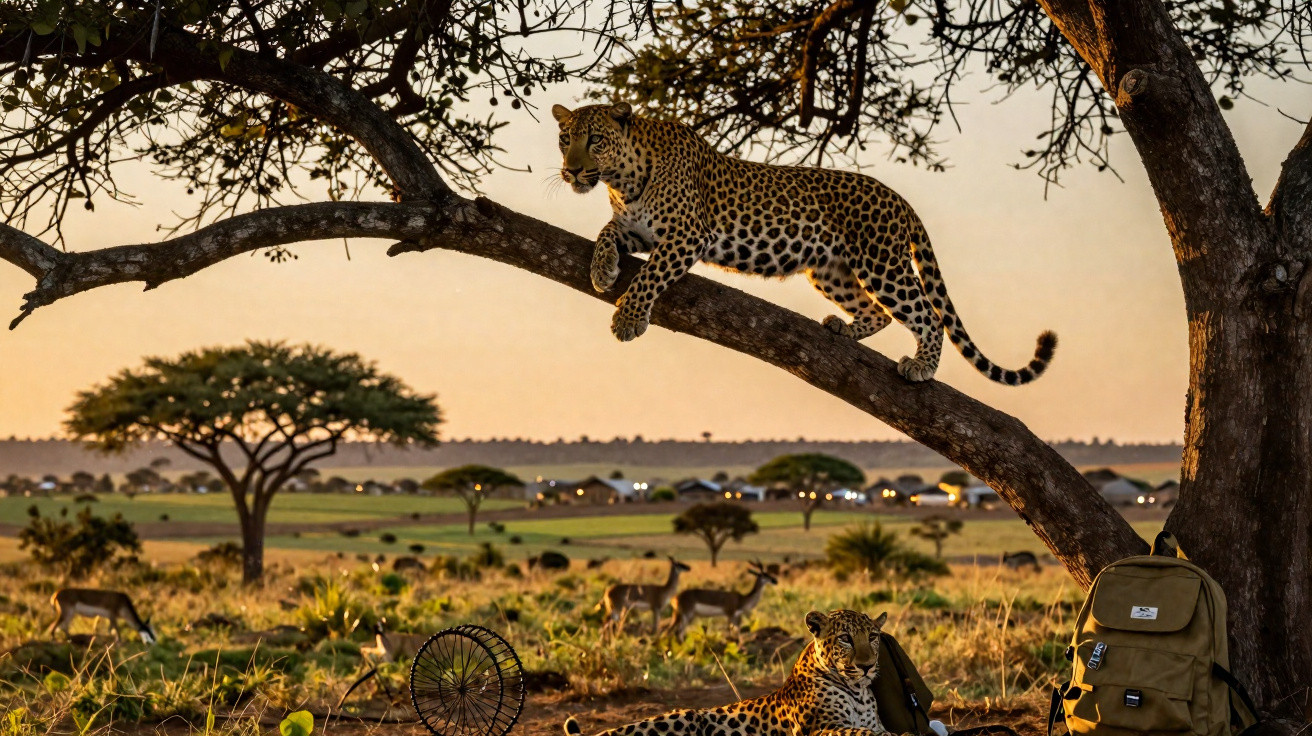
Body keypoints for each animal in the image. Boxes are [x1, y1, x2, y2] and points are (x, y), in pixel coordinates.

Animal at [552, 102, 1057, 384]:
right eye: (564, 139)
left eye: (595, 140)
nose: (571, 171)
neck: (622, 180)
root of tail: (900, 199)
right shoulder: (636, 228)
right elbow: (606, 233)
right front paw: (602, 269)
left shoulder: (686, 235)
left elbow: (650, 276)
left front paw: (627, 319)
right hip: (829, 270)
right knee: (876, 311)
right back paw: (842, 329)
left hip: (882, 263)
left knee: (927, 314)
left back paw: (921, 367)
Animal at [564, 609, 891, 736]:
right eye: (845, 638)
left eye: (873, 636)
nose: (867, 665)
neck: (858, 692)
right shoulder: (822, 728)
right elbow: (865, 733)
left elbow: (876, 730)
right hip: (684, 718)